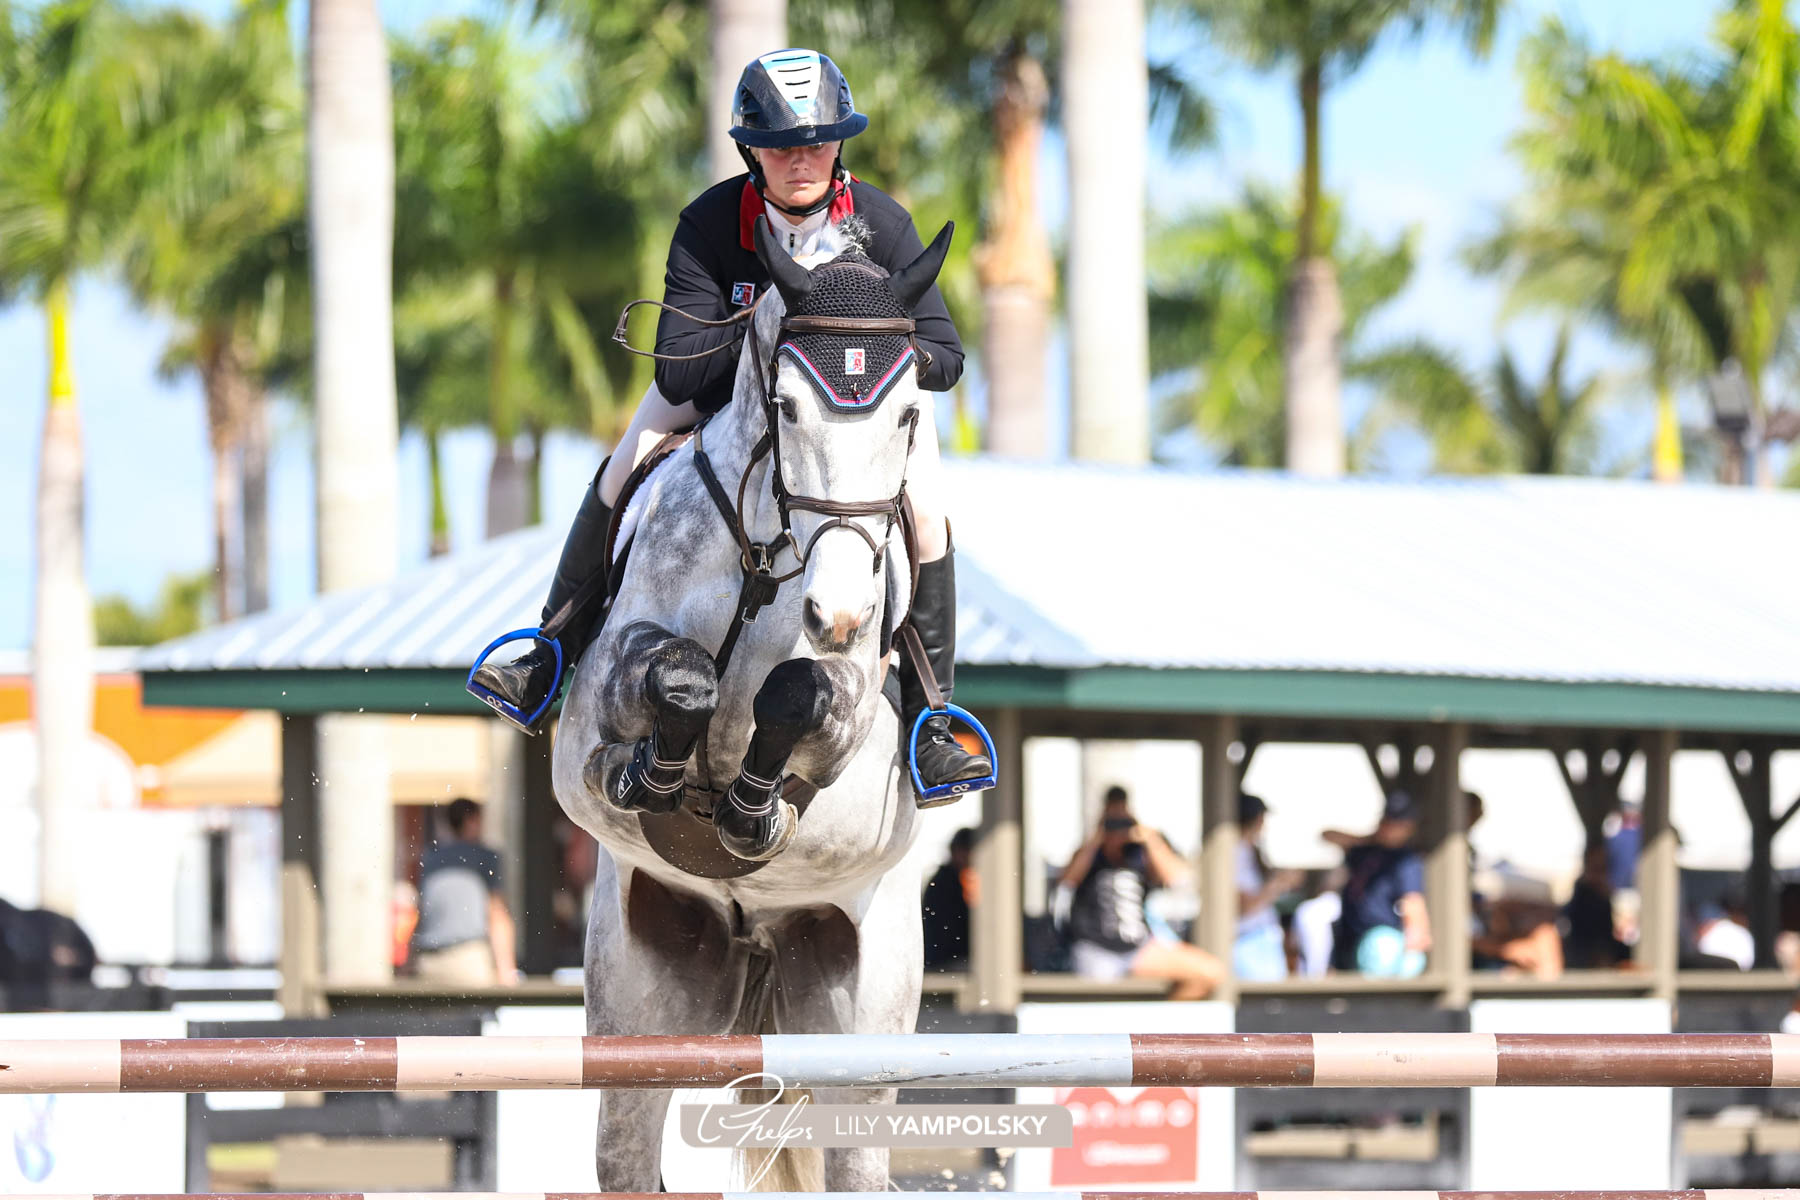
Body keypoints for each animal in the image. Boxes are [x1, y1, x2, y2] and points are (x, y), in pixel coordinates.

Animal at [543, 218, 950, 1194]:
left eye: (908, 416)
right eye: (789, 409)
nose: (838, 613)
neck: (770, 555)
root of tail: (761, 941)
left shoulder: (854, 710)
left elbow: (801, 694)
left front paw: (750, 812)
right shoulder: (606, 683)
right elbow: (673, 677)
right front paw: (649, 778)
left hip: (861, 1007)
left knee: (854, 1155)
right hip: (643, 997)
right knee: (628, 1152)